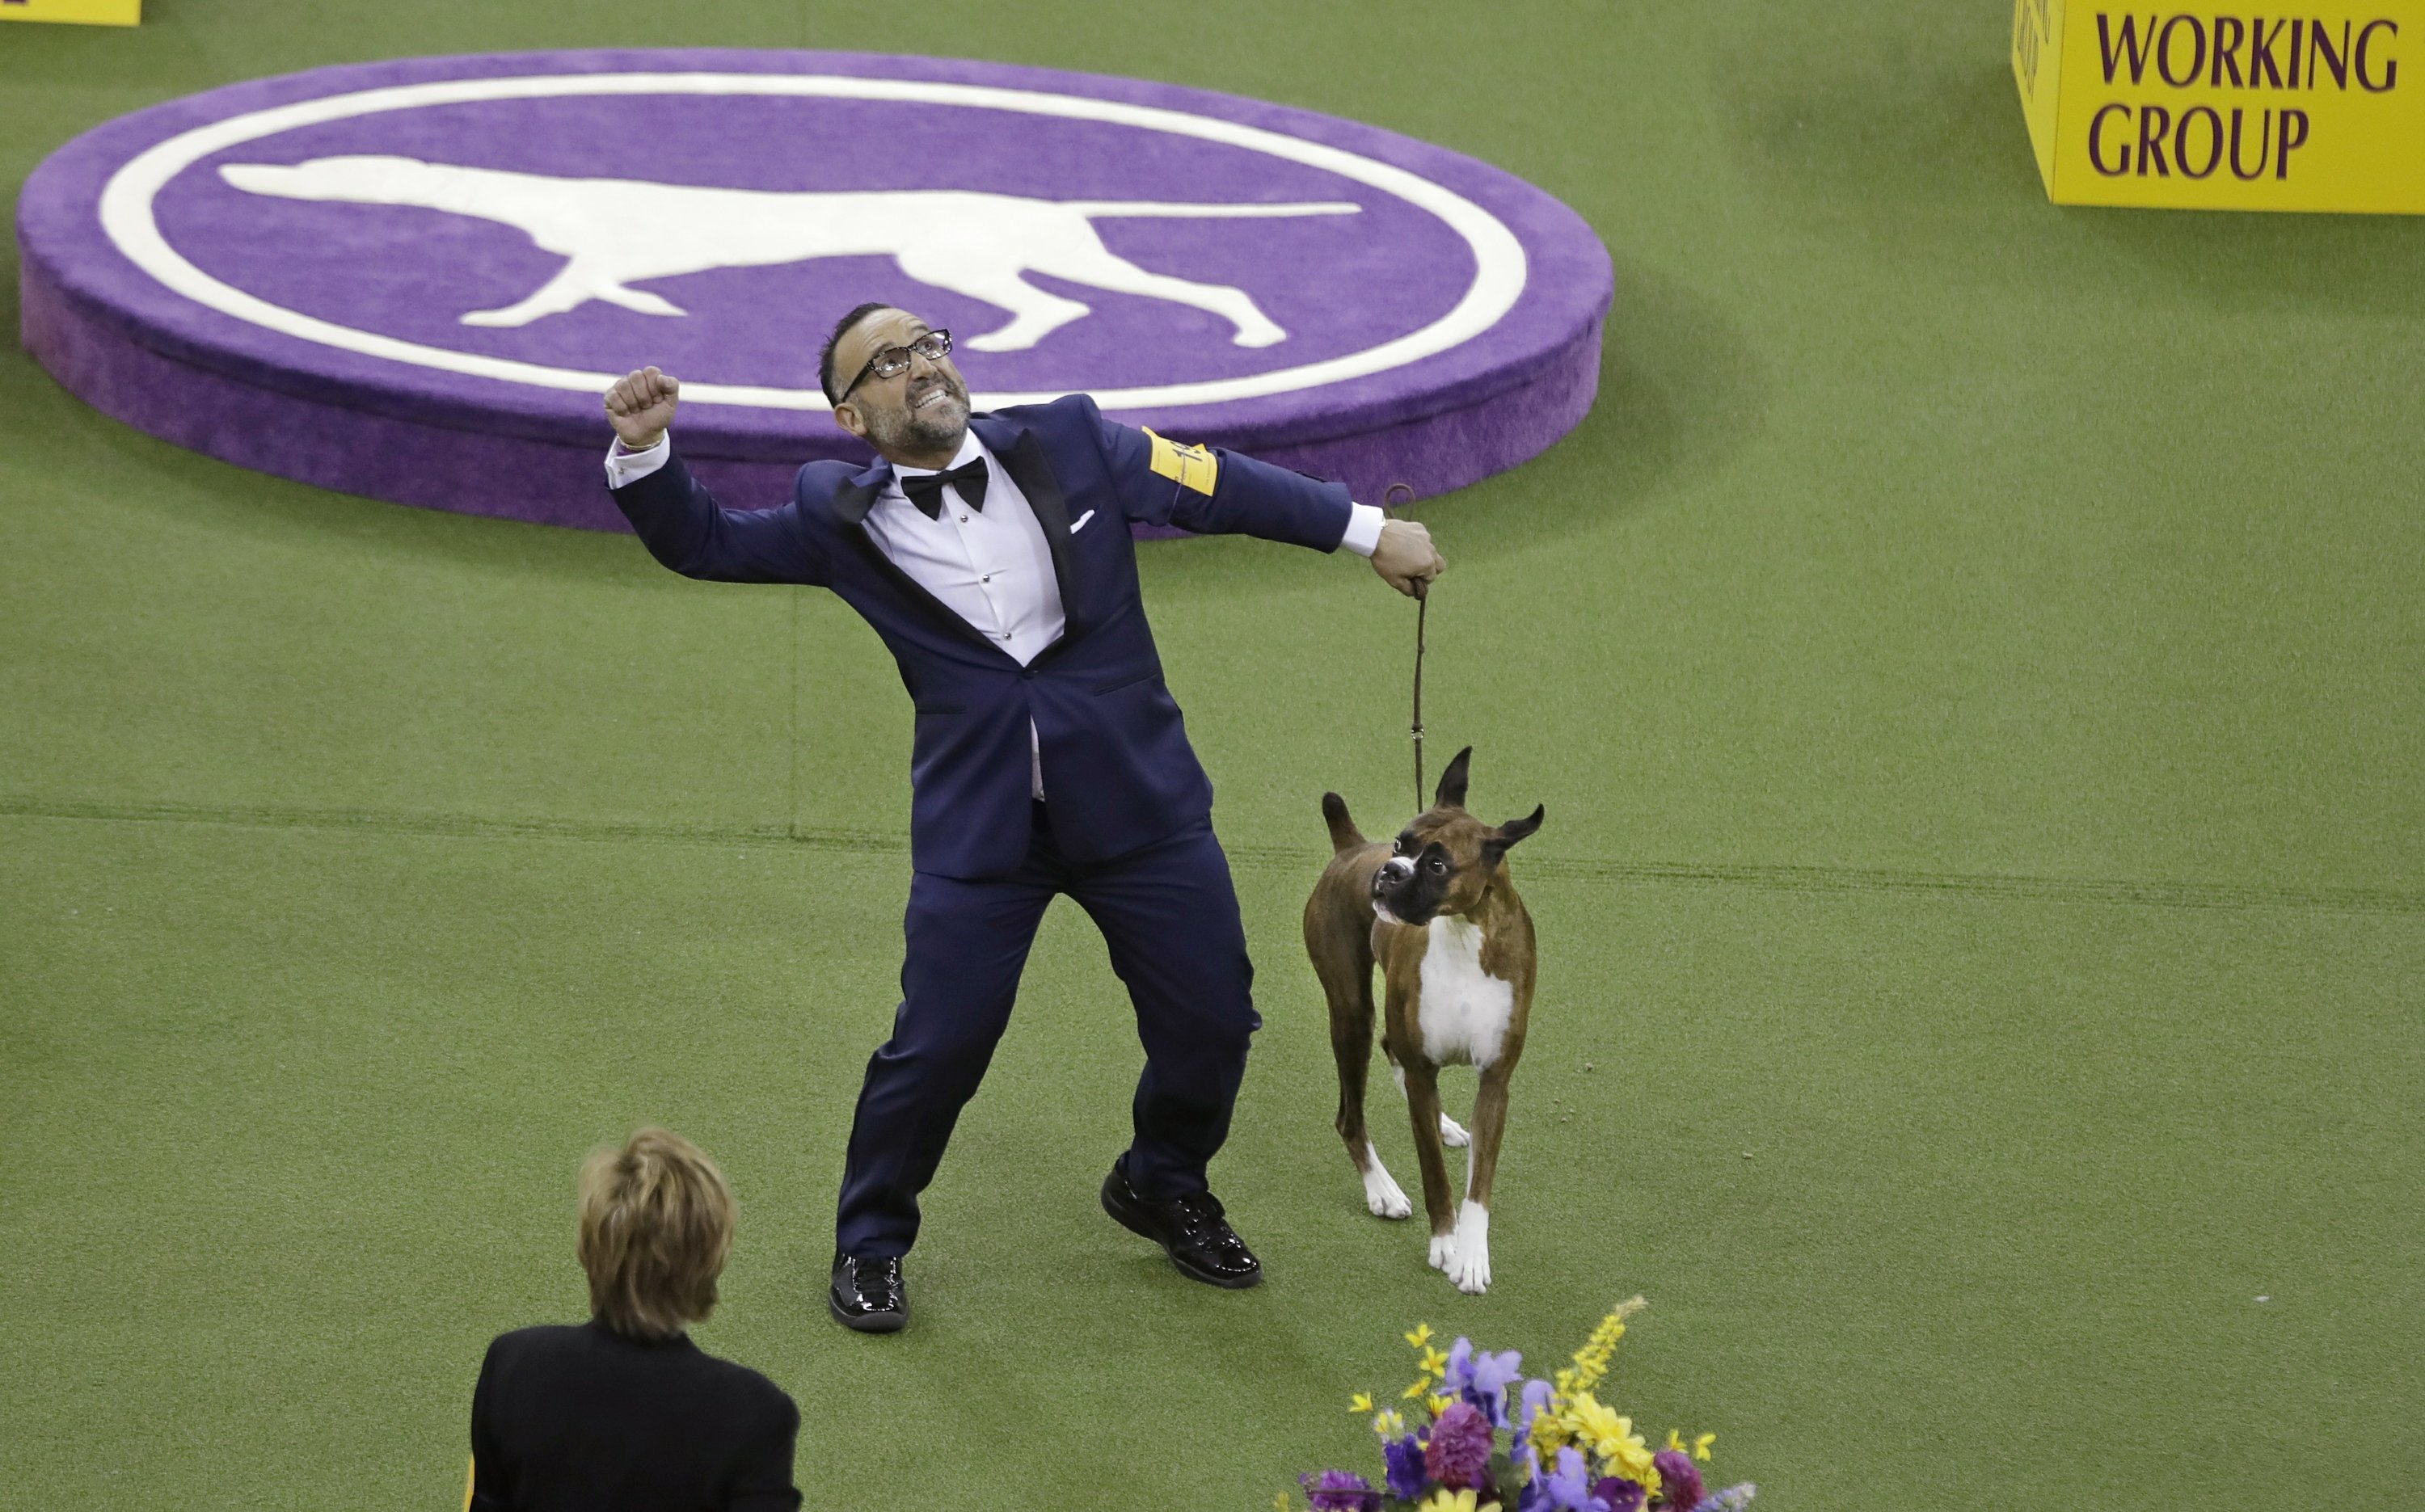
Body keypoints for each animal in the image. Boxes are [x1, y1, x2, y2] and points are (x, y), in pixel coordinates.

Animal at [1310, 751, 1533, 1289]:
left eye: (1436, 864)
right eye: (1399, 844)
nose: (1389, 870)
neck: (1464, 931)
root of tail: (1352, 847)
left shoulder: (1495, 1082)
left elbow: (1479, 1184)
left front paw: (1472, 1255)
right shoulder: (1423, 1070)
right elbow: (1435, 1174)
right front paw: (1446, 1245)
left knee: (1393, 1051)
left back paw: (1446, 1124)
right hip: (1352, 1014)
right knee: (1351, 1116)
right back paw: (1382, 1191)